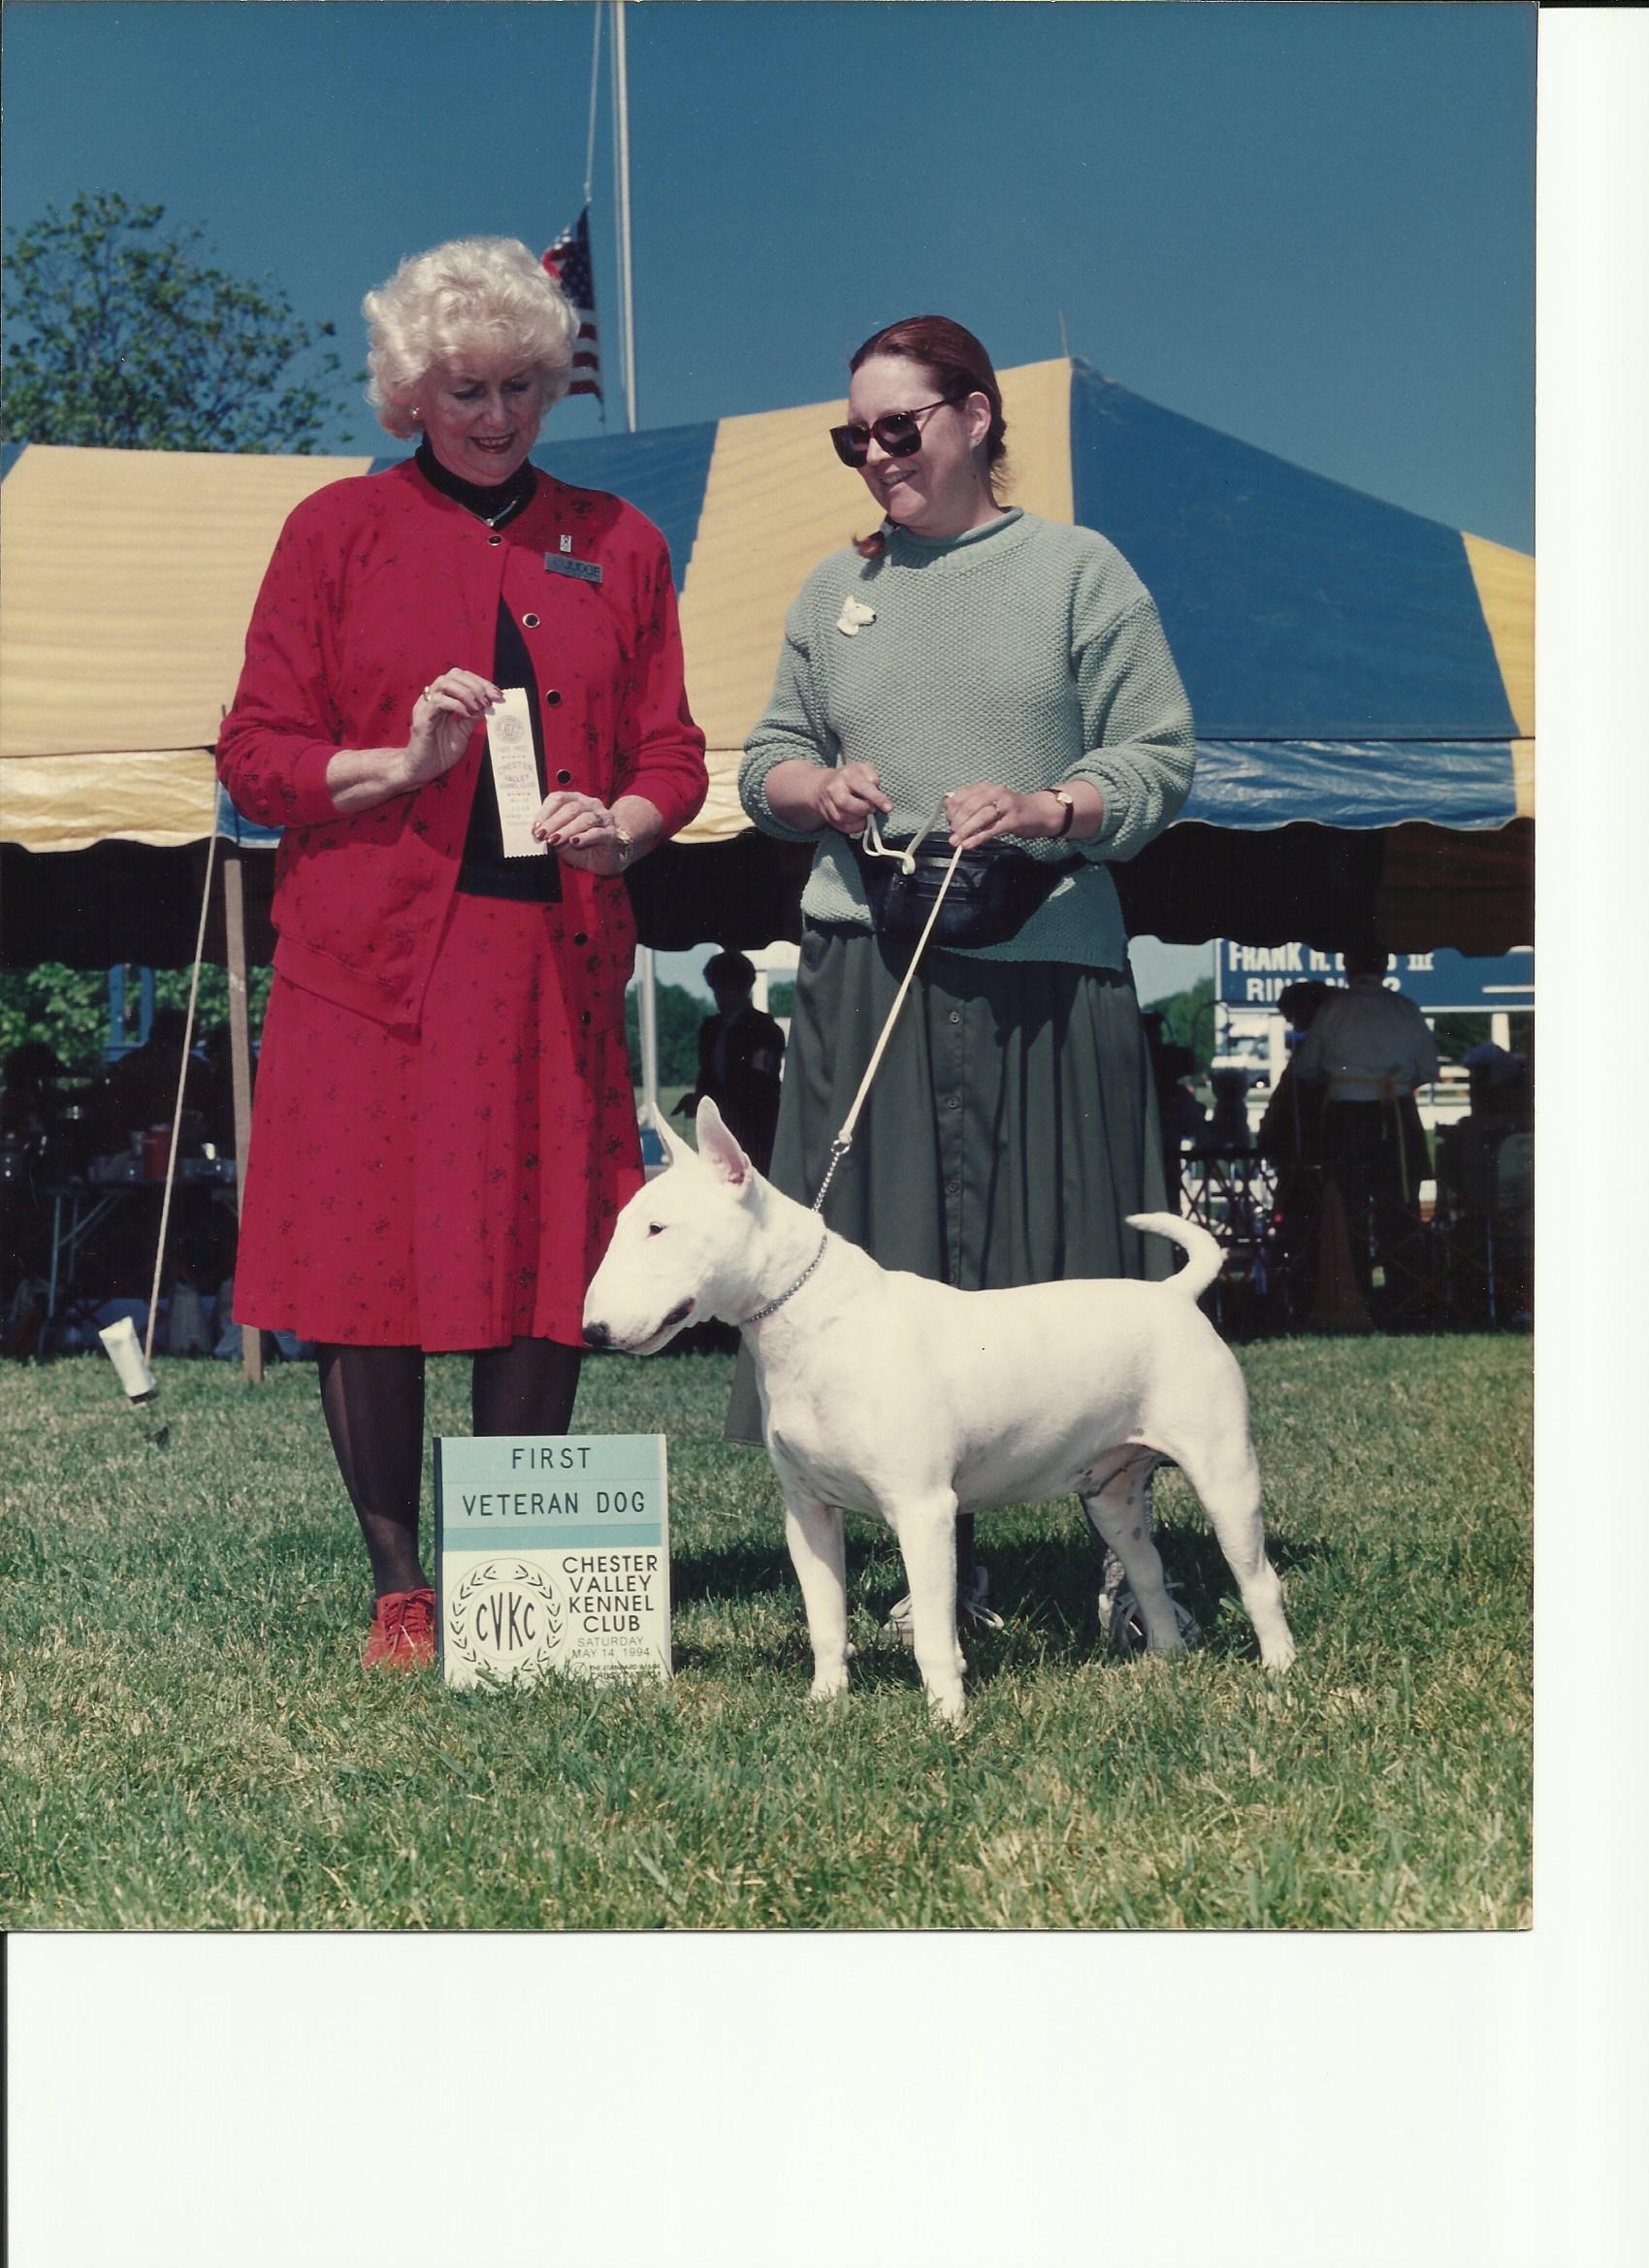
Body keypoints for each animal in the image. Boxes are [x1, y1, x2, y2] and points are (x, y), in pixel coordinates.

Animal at [584, 1099, 1295, 1721]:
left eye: (658, 1228)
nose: (592, 1330)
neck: (813, 1320)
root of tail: (1176, 1295)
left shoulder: (922, 1508)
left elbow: (932, 1631)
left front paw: (947, 1718)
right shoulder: (808, 1512)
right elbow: (824, 1619)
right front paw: (824, 1704)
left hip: (1224, 1472)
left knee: (1258, 1578)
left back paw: (1280, 1674)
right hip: (1113, 1493)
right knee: (1147, 1570)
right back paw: (1164, 1665)